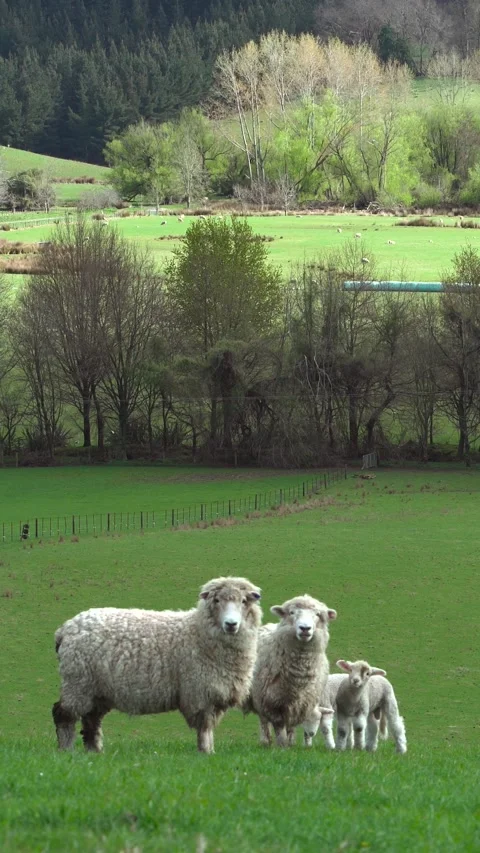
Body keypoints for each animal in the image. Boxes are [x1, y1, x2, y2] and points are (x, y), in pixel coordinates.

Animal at [52, 576, 262, 755]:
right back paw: (66, 750)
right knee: (63, 715)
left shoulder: (212, 694)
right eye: (217, 600)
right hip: (78, 683)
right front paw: (206, 752)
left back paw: (94, 752)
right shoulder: (199, 692)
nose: (231, 624)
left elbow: (208, 727)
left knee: (91, 721)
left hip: (96, 691)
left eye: (244, 601)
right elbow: (204, 728)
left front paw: (210, 752)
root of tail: (65, 629)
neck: (198, 632)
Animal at [247, 595, 337, 748]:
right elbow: (279, 726)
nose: (305, 628)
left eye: (317, 614)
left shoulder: (300, 705)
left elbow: (291, 726)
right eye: (292, 612)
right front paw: (282, 745)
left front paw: (290, 743)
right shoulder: (272, 703)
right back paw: (266, 741)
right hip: (259, 695)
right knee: (263, 721)